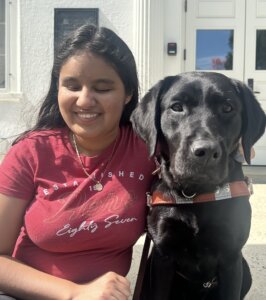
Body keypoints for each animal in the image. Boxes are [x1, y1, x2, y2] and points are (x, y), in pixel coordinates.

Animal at [131, 72, 266, 300]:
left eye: (227, 107)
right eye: (177, 107)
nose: (206, 151)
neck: (195, 194)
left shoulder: (231, 256)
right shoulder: (162, 256)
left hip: (244, 269)